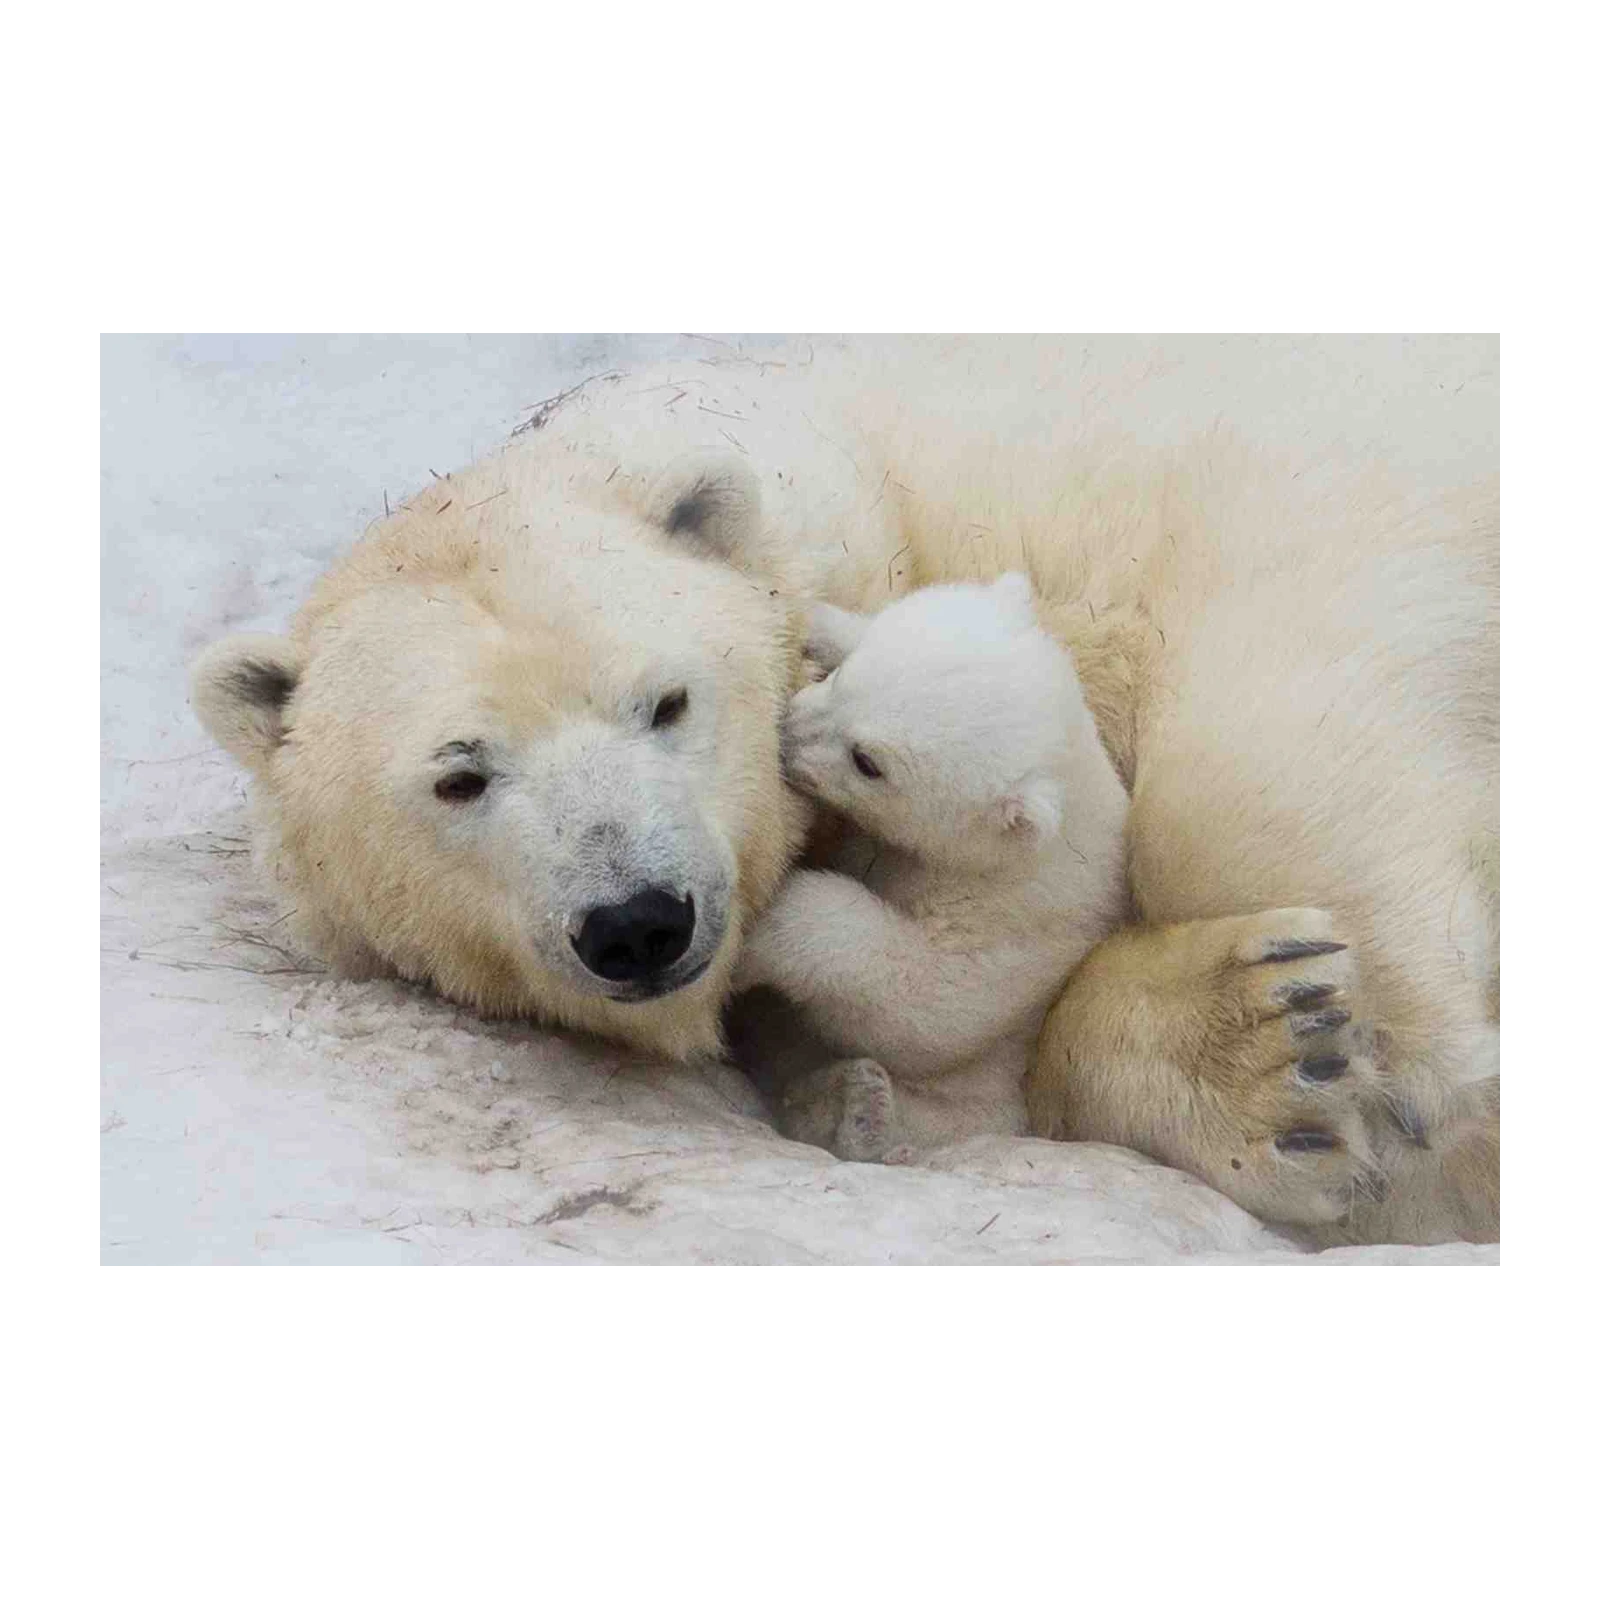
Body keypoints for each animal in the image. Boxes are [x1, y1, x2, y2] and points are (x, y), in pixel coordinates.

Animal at [729, 572, 1133, 1165]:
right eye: (845, 677)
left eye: (867, 762)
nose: (787, 734)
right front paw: (812, 618)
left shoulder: (1012, 916)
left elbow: (927, 1006)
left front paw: (763, 930)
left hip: (995, 1092)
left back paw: (858, 1111)